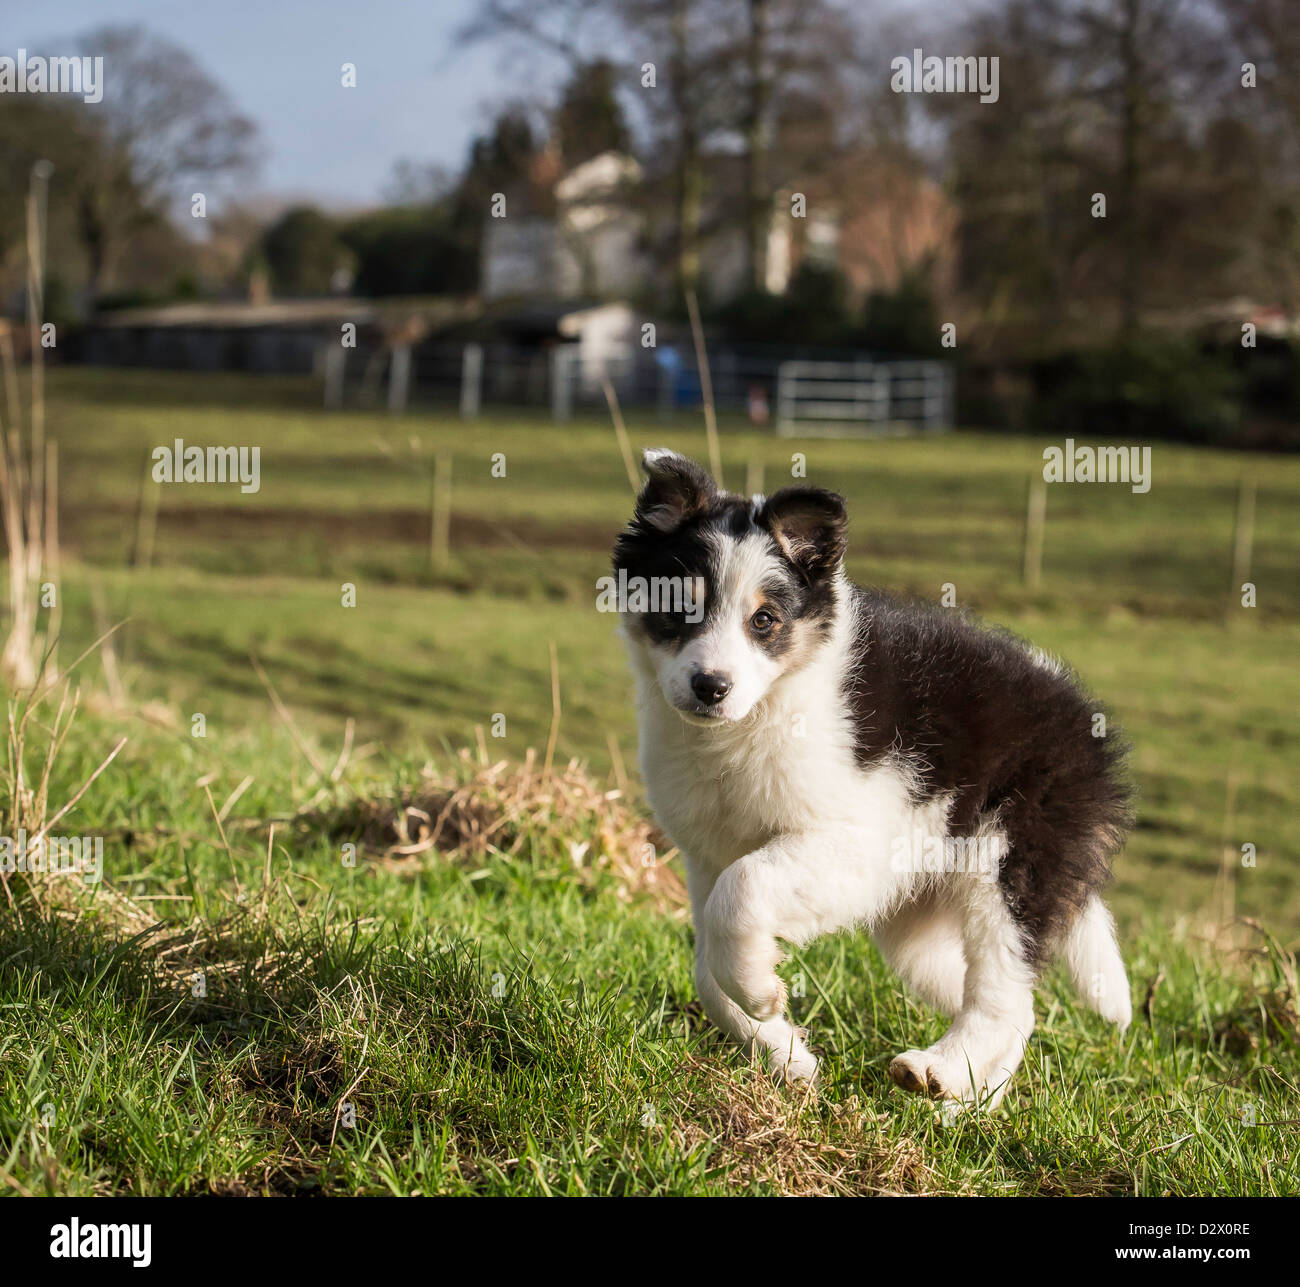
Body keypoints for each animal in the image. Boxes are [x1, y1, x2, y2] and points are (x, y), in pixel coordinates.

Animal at [613, 449, 1133, 1107]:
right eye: (678, 607)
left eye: (765, 621)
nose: (711, 687)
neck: (754, 718)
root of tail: (1088, 726)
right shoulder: (709, 854)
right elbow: (709, 965)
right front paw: (785, 1053)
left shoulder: (856, 841)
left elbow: (743, 892)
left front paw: (761, 997)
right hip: (918, 922)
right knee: (1011, 1004)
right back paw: (966, 1104)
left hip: (1008, 865)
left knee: (1003, 998)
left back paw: (936, 1072)